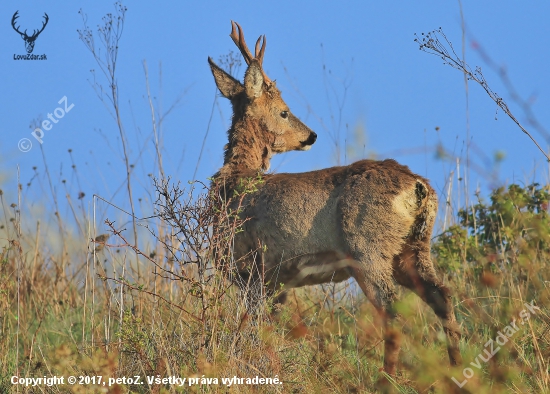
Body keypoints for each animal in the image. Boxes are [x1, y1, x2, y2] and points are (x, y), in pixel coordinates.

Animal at [209, 20, 464, 376]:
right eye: (284, 112)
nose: (311, 135)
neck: (236, 180)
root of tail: (418, 186)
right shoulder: (274, 280)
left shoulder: (252, 268)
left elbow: (253, 329)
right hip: (414, 248)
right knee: (442, 296)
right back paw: (457, 369)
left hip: (367, 248)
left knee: (393, 312)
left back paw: (387, 378)